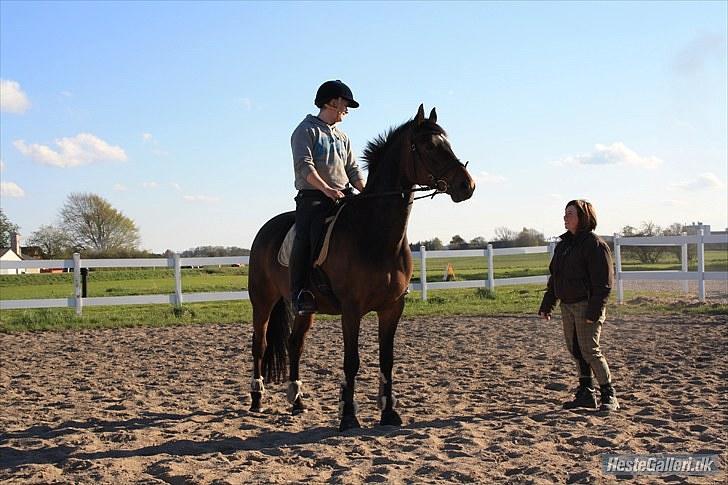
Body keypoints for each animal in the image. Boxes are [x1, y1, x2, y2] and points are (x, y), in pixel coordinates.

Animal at [247, 104, 474, 430]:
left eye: (448, 142)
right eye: (430, 146)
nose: (467, 185)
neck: (375, 232)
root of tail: (266, 229)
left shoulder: (392, 307)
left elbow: (386, 359)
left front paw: (389, 413)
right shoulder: (352, 309)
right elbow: (351, 361)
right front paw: (348, 416)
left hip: (305, 308)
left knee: (294, 344)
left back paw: (297, 401)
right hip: (262, 301)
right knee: (260, 345)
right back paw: (256, 399)